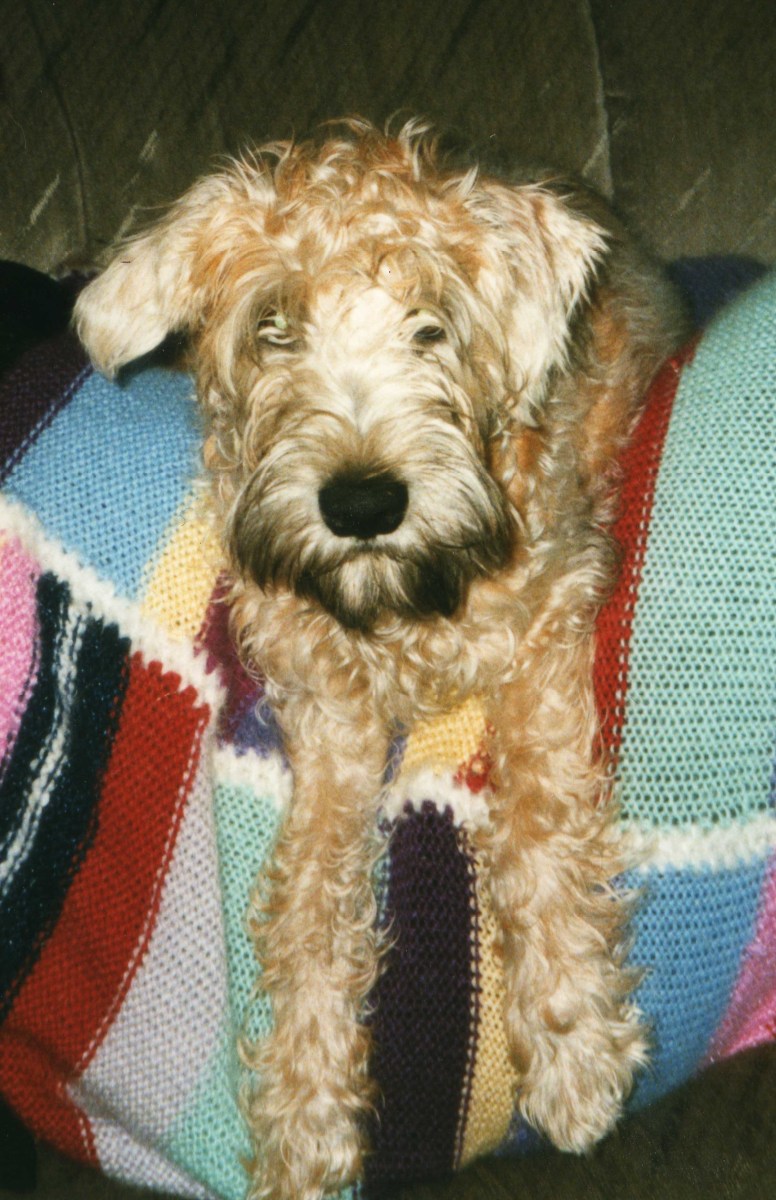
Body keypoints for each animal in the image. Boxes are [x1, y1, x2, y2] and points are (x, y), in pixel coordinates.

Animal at [75, 118, 687, 1200]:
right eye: (272, 326)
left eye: (430, 324)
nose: (362, 504)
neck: (404, 612)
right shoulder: (329, 720)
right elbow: (312, 901)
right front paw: (303, 1113)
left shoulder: (545, 625)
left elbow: (536, 822)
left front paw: (571, 1042)